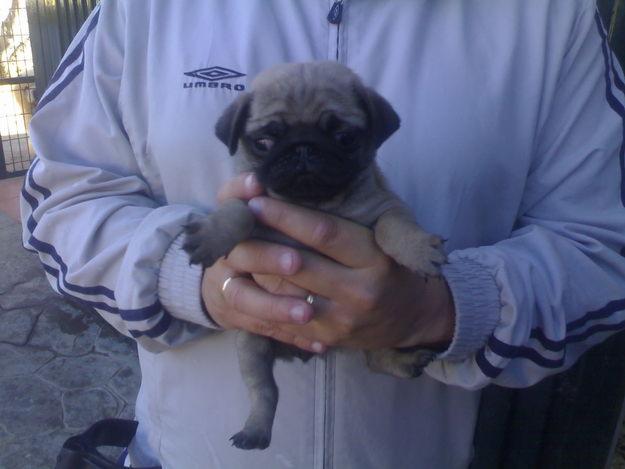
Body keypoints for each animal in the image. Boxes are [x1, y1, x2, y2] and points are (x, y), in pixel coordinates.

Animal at [183, 62, 446, 450]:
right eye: (265, 141)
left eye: (344, 137)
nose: (303, 148)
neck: (313, 203)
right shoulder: (251, 200)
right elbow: (238, 212)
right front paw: (212, 235)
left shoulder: (386, 206)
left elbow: (394, 226)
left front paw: (417, 250)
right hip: (251, 344)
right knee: (265, 390)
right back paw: (255, 430)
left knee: (374, 357)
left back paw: (405, 361)